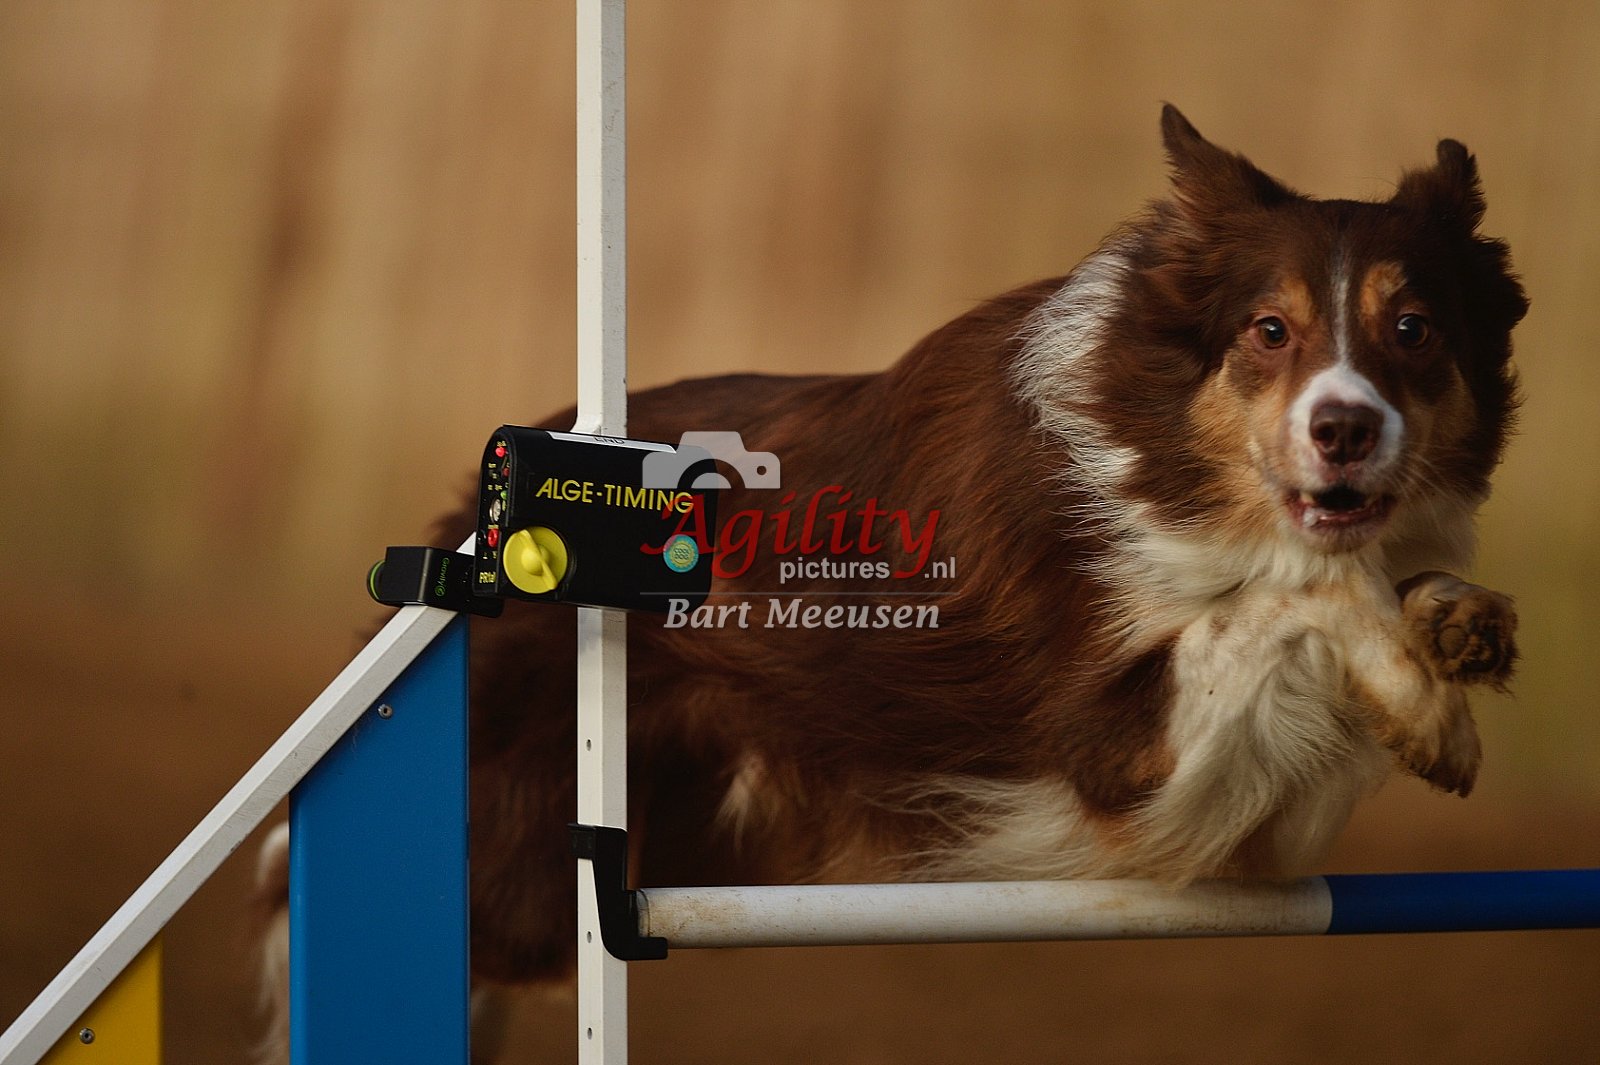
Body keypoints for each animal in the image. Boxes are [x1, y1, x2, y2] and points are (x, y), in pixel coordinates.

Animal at [255, 105, 1525, 1059]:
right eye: (1268, 330)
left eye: (1413, 329)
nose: (1346, 431)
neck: (1168, 461)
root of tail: (471, 518)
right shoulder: (1114, 748)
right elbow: (1289, 599)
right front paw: (1432, 712)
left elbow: (1366, 593)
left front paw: (1457, 628)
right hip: (515, 863)